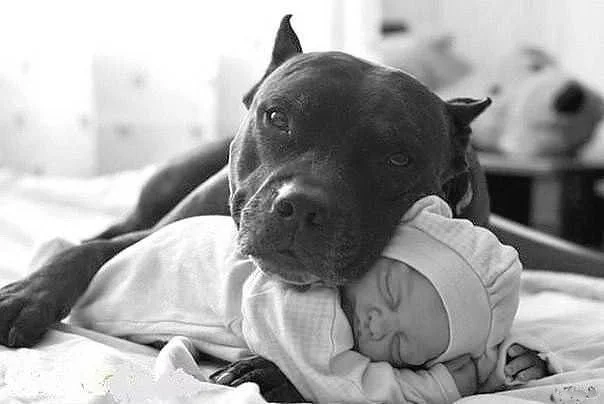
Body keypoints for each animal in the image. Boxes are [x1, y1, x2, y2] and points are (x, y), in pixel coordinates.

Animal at [0, 15, 491, 401]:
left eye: (398, 159)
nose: (302, 205)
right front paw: (28, 294)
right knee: (107, 230)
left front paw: (273, 374)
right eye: (277, 118)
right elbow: (85, 253)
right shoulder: (158, 234)